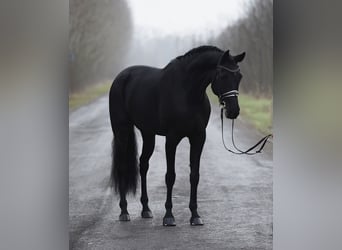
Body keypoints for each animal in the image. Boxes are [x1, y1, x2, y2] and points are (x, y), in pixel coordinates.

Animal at [108, 45, 244, 227]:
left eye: (239, 76)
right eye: (222, 75)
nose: (233, 111)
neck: (188, 92)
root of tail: (121, 77)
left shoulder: (198, 138)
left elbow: (194, 176)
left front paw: (195, 215)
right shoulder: (172, 139)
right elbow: (170, 176)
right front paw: (169, 216)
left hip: (148, 133)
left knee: (143, 164)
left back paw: (146, 209)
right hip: (121, 130)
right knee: (122, 166)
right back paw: (124, 211)